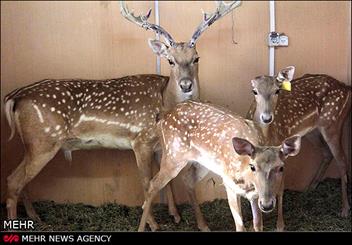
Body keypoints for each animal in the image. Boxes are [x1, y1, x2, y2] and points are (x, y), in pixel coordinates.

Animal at [4, 0, 242, 231]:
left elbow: (166, 182)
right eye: (170, 60)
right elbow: (146, 182)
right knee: (13, 181)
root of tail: (14, 97)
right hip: (43, 140)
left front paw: (175, 215)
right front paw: (153, 224)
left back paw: (35, 216)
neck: (164, 102)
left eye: (196, 58)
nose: (186, 84)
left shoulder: (160, 145)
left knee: (21, 180)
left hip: (33, 144)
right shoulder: (141, 140)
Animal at [136, 100, 302, 232]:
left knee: (187, 179)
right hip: (173, 154)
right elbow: (240, 226)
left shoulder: (254, 195)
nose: (267, 205)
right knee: (153, 184)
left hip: (202, 162)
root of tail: (163, 117)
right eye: (253, 167)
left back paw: (203, 226)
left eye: (281, 167)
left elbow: (257, 225)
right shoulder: (229, 184)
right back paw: (146, 226)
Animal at [246, 66, 350, 217]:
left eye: (277, 90)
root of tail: (346, 87)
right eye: (255, 91)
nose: (266, 118)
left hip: (333, 123)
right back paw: (311, 187)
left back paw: (345, 209)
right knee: (327, 153)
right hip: (312, 131)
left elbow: (280, 186)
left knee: (342, 160)